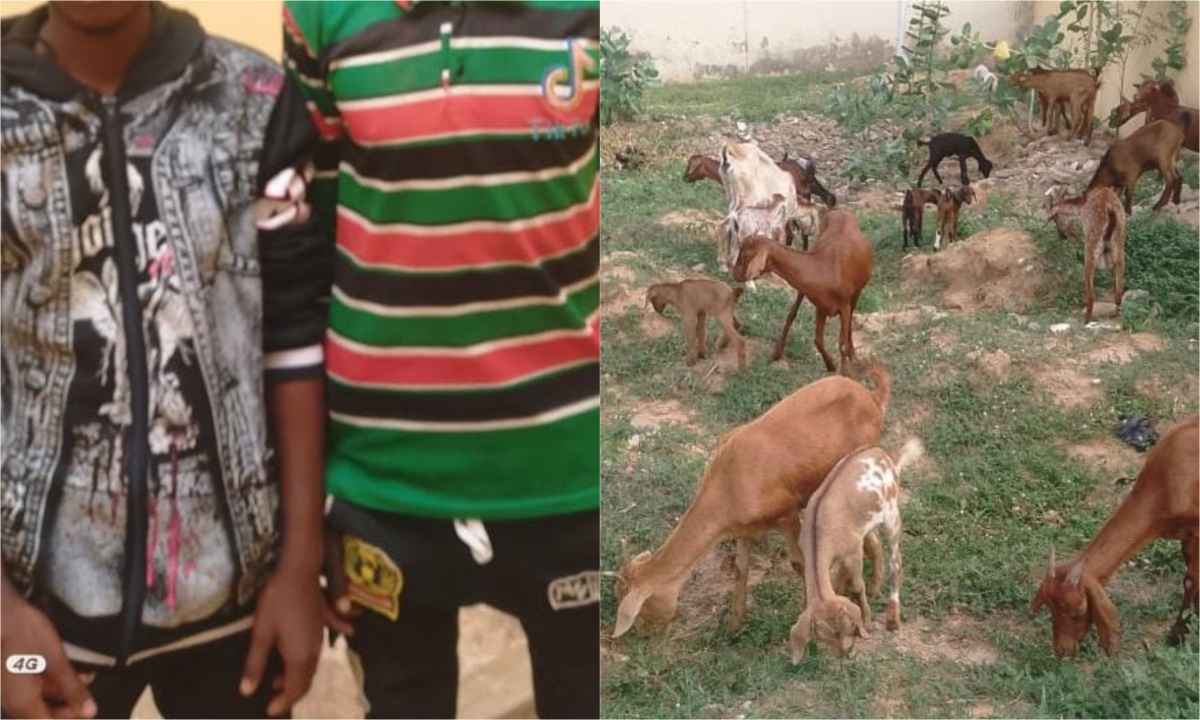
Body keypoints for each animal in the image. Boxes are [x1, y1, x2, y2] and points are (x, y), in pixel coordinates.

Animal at [611, 361, 893, 638]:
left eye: (641, 608)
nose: (647, 635)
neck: (728, 484)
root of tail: (872, 398)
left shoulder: (787, 513)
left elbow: (799, 562)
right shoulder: (743, 526)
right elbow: (740, 566)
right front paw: (735, 624)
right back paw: (868, 585)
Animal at [733, 210, 873, 373]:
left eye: (745, 255)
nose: (735, 273)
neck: (824, 267)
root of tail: (841, 211)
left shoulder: (844, 304)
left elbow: (842, 343)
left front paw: (844, 373)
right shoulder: (821, 306)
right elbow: (818, 340)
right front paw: (831, 366)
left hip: (856, 293)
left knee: (849, 321)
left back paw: (853, 355)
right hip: (805, 291)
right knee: (792, 314)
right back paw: (777, 353)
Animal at [790, 439, 924, 663]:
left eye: (848, 627)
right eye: (823, 636)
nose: (843, 653)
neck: (820, 532)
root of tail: (884, 454)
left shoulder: (852, 552)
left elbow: (857, 585)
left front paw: (867, 621)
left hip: (891, 512)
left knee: (896, 561)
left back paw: (892, 618)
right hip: (868, 523)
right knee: (876, 545)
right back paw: (875, 587)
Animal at [1030, 412, 1199, 657]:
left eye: (1078, 612)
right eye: (1050, 607)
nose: (1062, 650)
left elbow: (1191, 580)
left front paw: (1177, 637)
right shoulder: (1185, 536)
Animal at [1046, 187, 1126, 324]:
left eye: (1055, 218)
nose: (1062, 235)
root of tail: (1111, 212)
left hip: (1092, 242)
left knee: (1091, 293)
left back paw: (1086, 320)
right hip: (1119, 243)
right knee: (1118, 288)